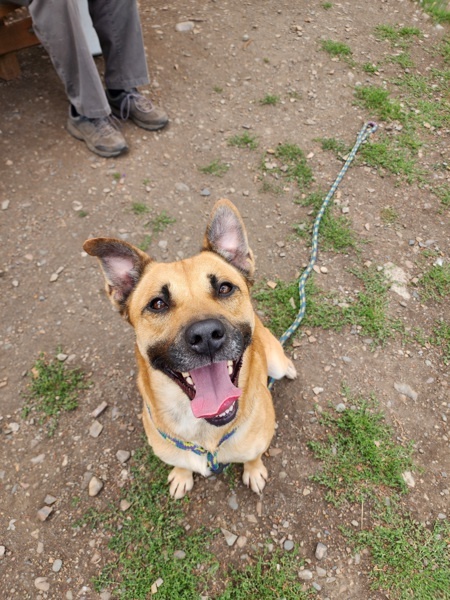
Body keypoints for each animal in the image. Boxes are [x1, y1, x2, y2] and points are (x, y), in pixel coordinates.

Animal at [83, 199, 296, 500]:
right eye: (157, 304)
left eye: (225, 288)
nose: (206, 335)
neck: (205, 434)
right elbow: (181, 464)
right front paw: (182, 476)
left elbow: (253, 457)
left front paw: (254, 471)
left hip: (274, 359)